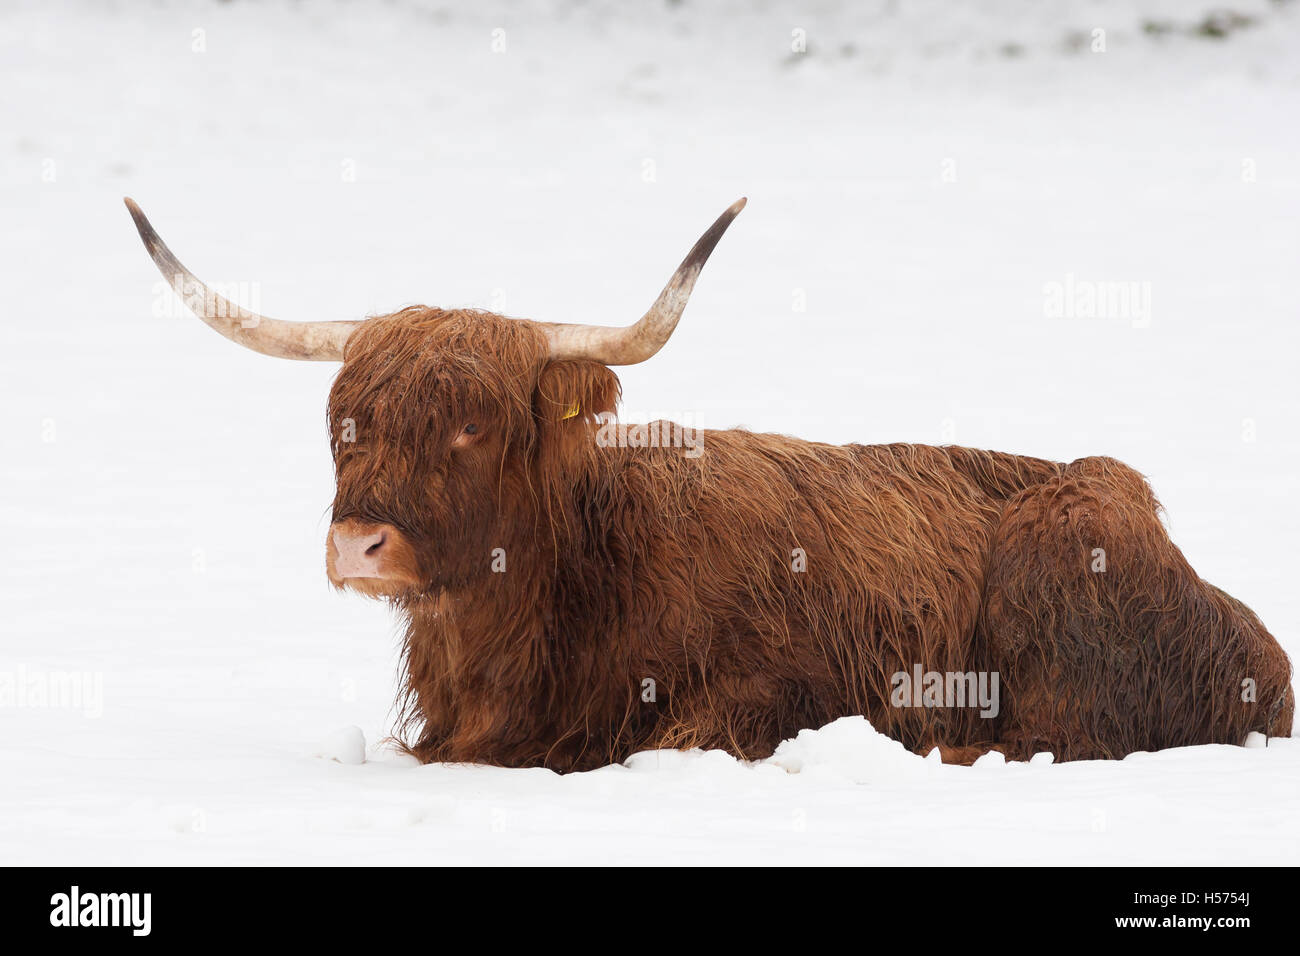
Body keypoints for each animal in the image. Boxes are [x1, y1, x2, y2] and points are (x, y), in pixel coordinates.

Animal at [125, 196, 1294, 771]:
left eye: (471, 423)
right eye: (346, 420)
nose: (360, 544)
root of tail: (1261, 653)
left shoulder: (767, 693)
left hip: (1064, 557)